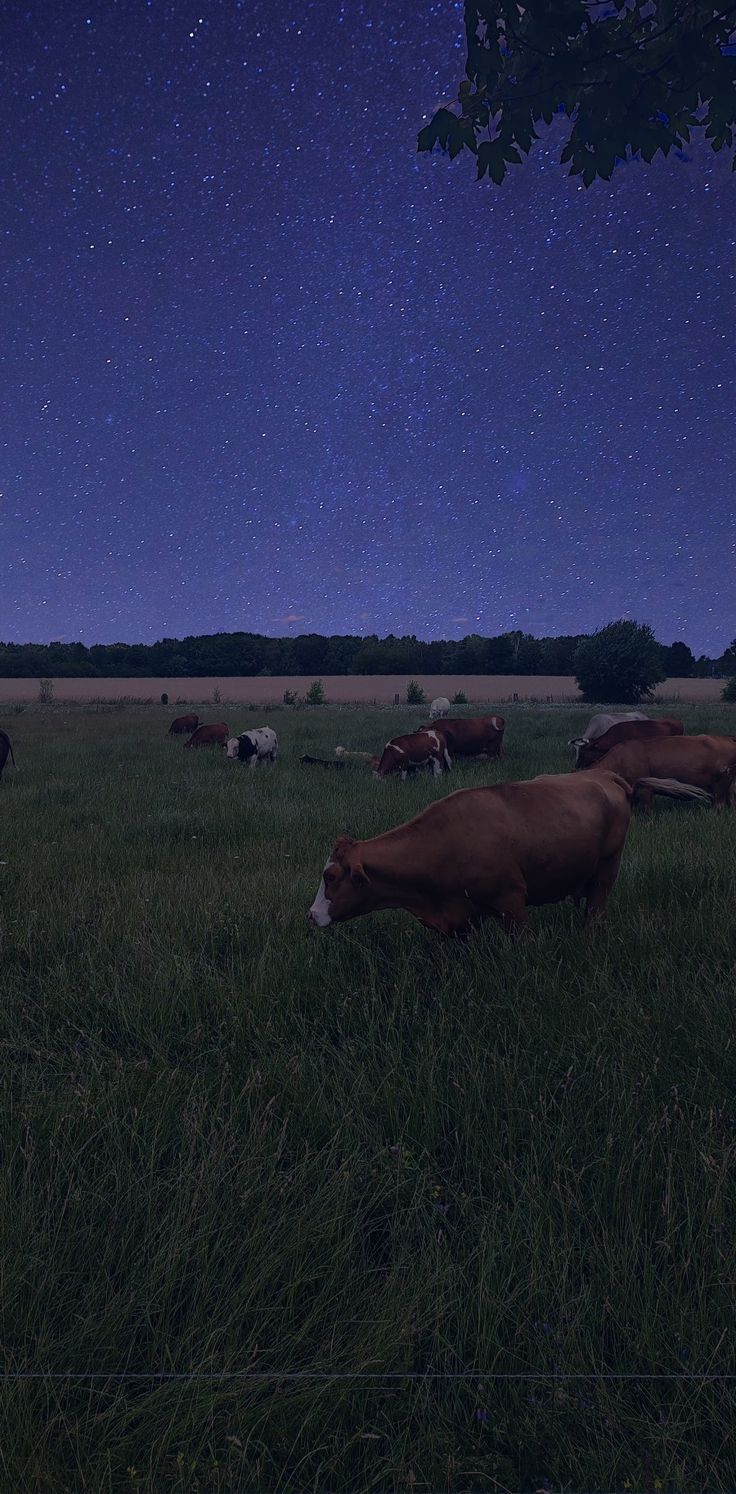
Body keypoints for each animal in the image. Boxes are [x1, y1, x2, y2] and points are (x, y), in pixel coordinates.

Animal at [306, 770, 630, 932]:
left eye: (330, 876)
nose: (311, 914)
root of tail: (602, 775)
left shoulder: (512, 901)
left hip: (606, 871)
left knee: (596, 908)